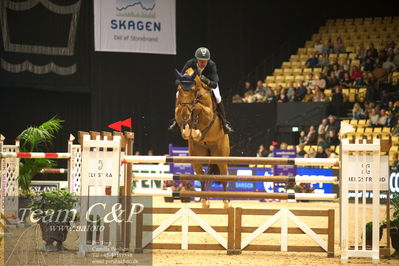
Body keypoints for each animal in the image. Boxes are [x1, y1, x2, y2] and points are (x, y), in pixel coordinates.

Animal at [175, 68, 231, 208]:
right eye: (179, 89)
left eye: (193, 90)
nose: (186, 114)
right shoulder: (179, 109)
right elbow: (181, 114)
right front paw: (188, 130)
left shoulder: (209, 114)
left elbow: (198, 107)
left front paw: (195, 129)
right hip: (196, 158)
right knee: (202, 176)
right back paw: (205, 201)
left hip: (221, 157)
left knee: (224, 176)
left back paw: (226, 201)